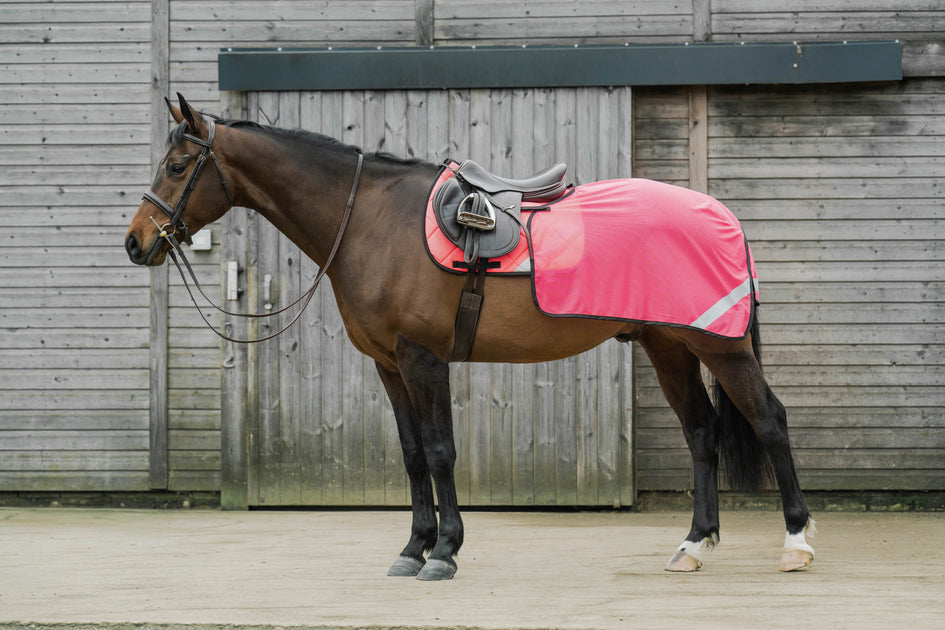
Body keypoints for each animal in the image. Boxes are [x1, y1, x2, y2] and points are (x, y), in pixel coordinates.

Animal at [125, 93, 815, 580]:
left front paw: (445, 552)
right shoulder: (388, 365)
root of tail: (721, 214)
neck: (372, 220)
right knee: (701, 432)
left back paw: (796, 542)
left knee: (771, 421)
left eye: (178, 165)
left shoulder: (424, 359)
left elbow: (439, 451)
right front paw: (412, 548)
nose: (136, 242)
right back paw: (692, 546)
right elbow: (410, 456)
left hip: (719, 347)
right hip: (668, 345)